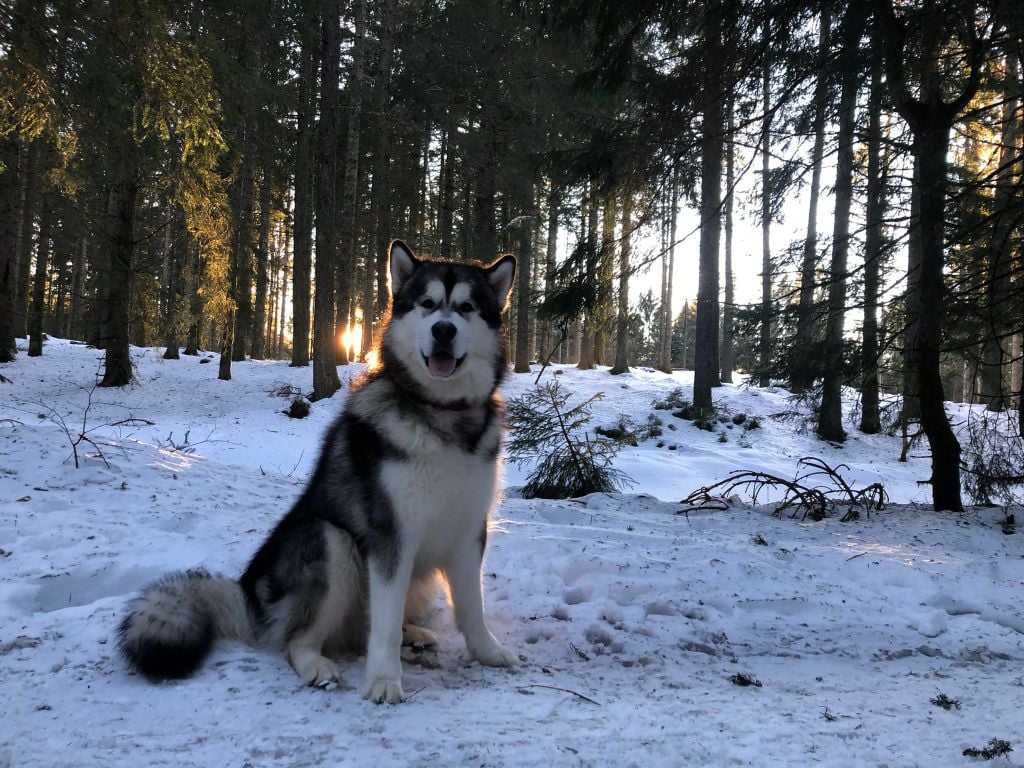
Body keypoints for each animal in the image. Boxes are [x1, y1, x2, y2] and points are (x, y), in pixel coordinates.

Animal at [117, 240, 520, 704]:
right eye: (428, 304)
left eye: (467, 308)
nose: (443, 331)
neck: (443, 416)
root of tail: (250, 594)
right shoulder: (391, 534)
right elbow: (383, 624)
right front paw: (384, 680)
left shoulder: (470, 528)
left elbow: (472, 606)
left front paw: (488, 651)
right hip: (332, 542)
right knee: (302, 639)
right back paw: (319, 667)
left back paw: (413, 635)